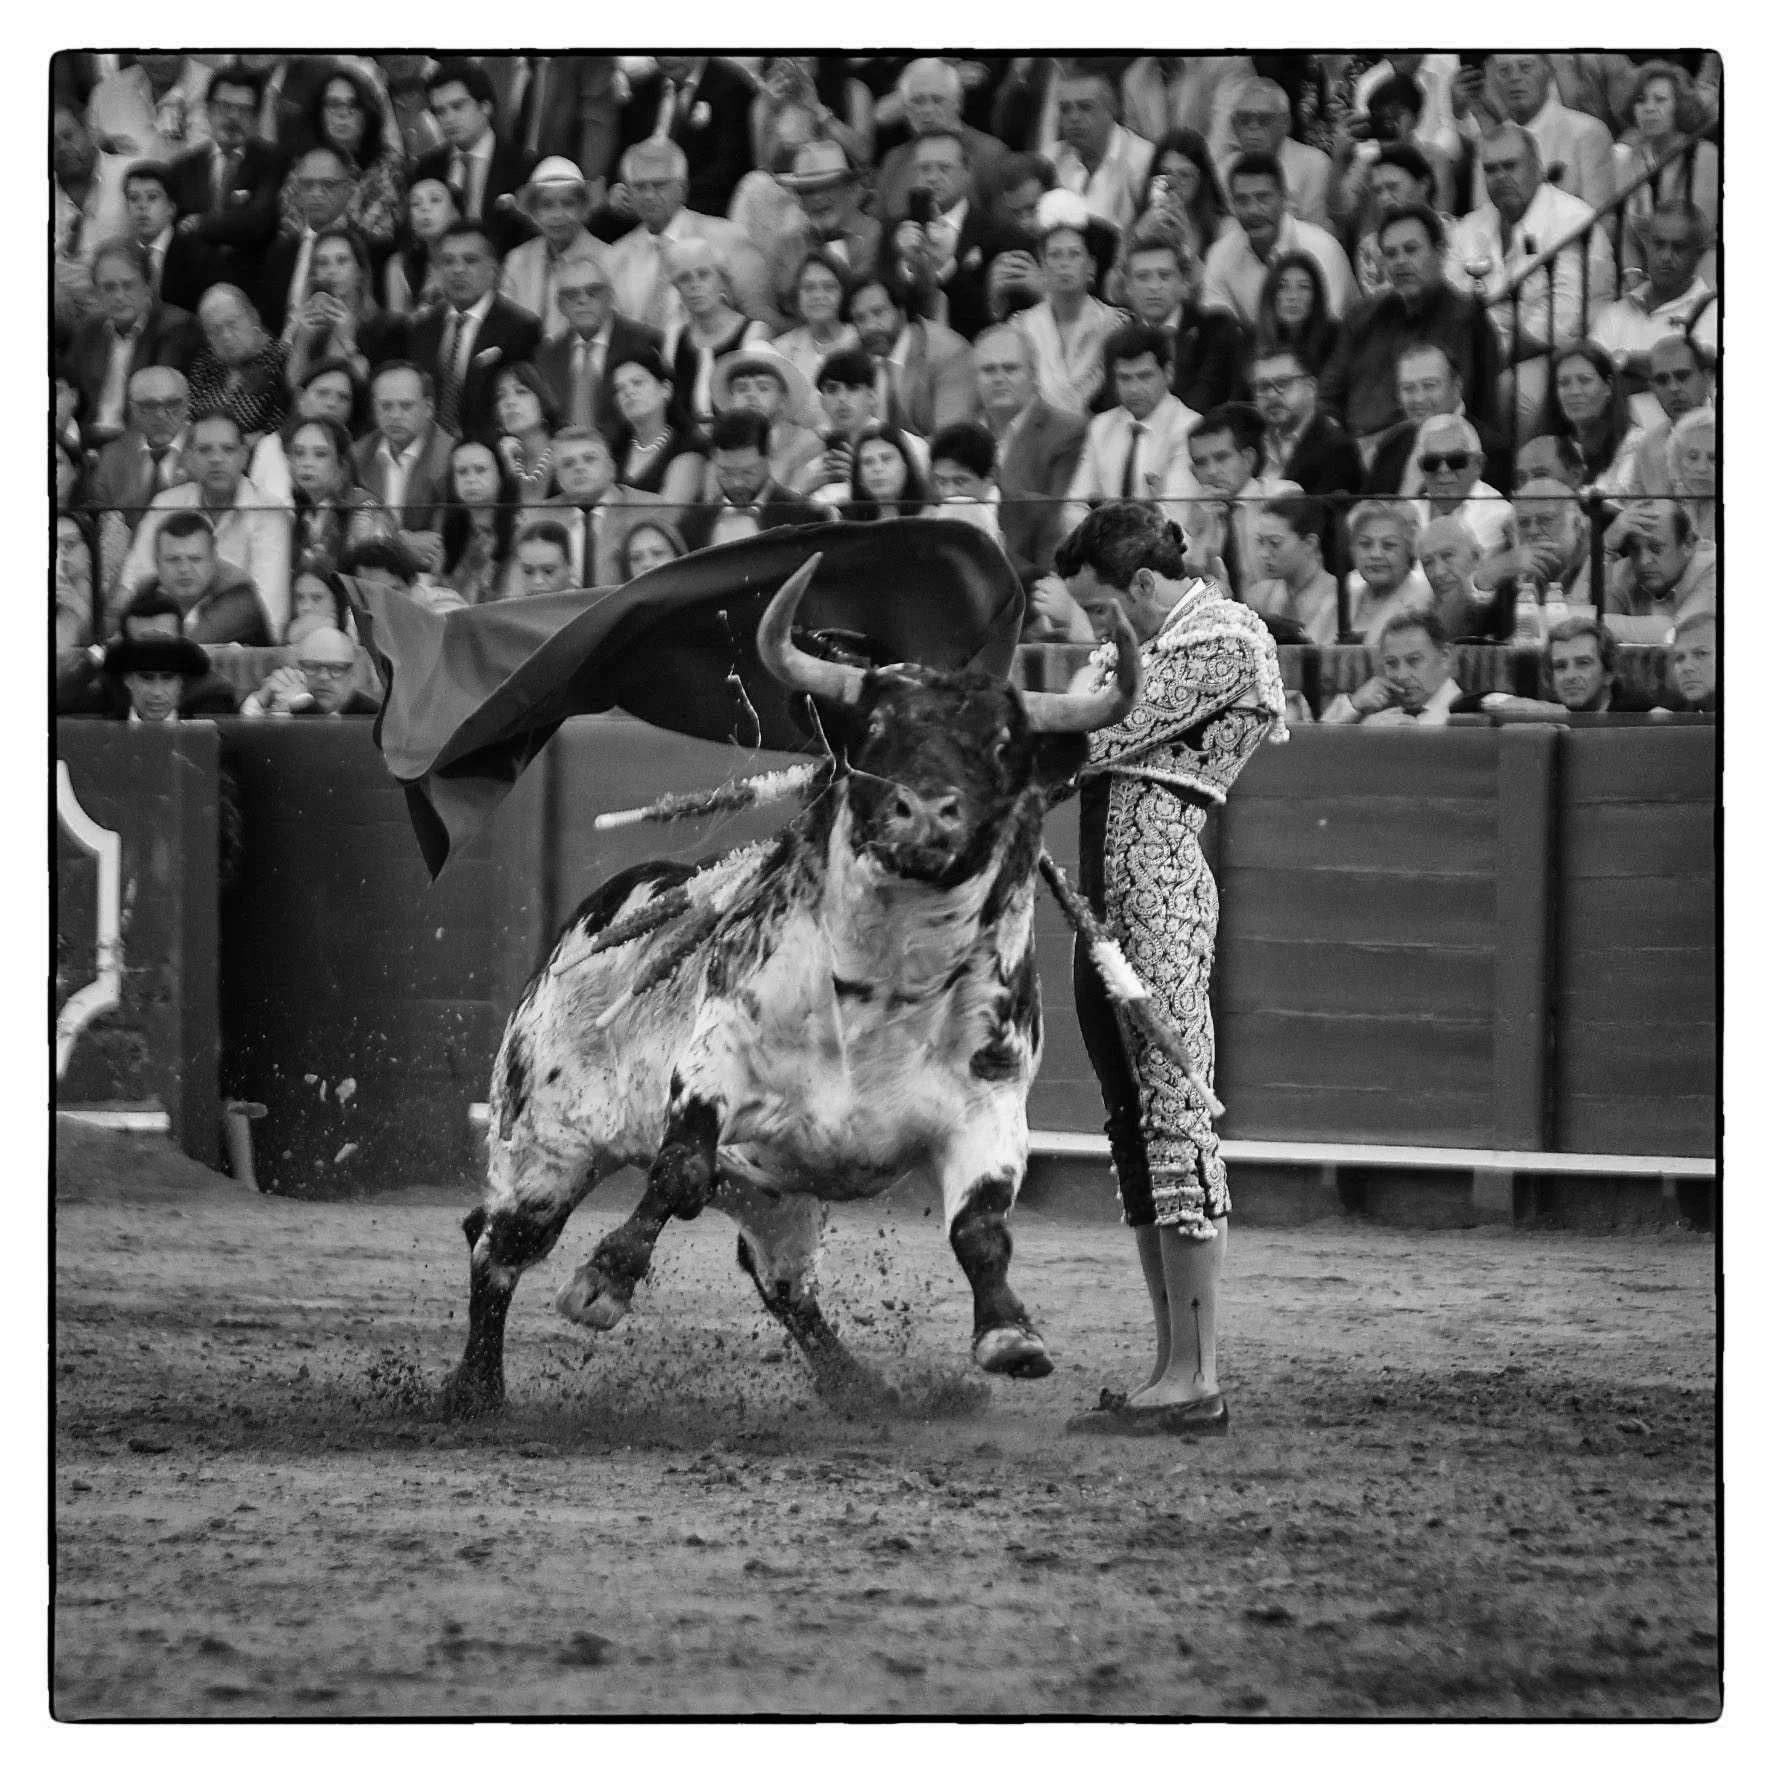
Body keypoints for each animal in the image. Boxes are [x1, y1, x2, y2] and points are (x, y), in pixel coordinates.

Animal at [440, 554, 1141, 1416]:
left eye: (1004, 744)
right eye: (874, 730)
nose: (924, 813)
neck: (886, 983)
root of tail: (588, 921)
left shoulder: (992, 1111)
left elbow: (980, 1228)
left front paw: (1011, 1335)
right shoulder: (713, 1070)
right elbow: (677, 1172)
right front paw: (602, 1283)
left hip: (773, 1195)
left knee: (783, 1284)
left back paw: (859, 1388)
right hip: (544, 1146)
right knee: (497, 1245)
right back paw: (477, 1392)